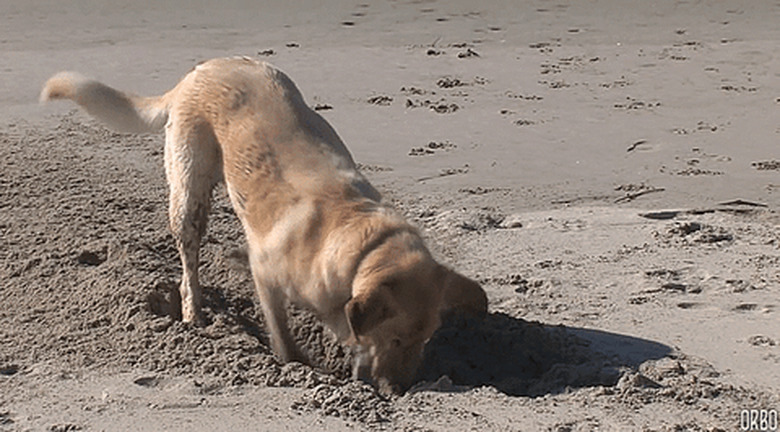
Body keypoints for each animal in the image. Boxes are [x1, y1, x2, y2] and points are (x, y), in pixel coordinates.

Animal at [42, 55, 488, 394]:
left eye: (426, 340)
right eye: (394, 338)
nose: (401, 391)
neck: (362, 245)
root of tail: (198, 71)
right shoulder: (270, 278)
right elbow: (284, 336)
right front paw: (296, 365)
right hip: (189, 194)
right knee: (189, 267)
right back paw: (193, 314)